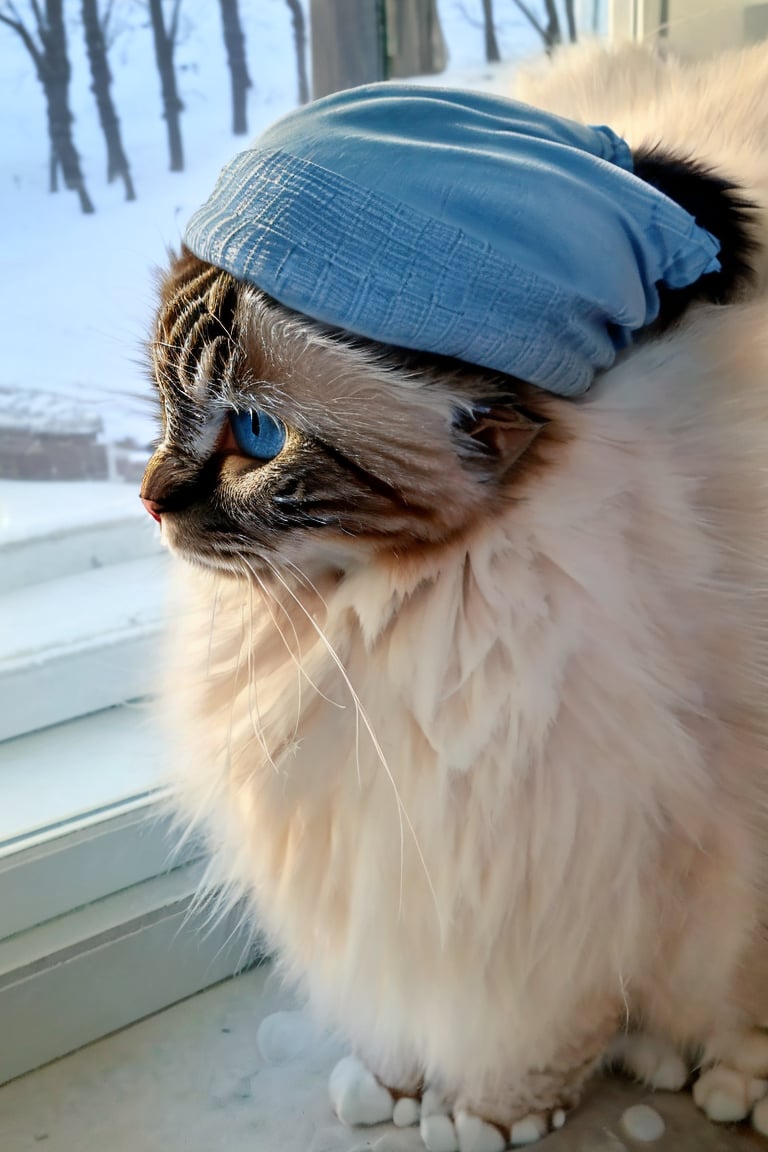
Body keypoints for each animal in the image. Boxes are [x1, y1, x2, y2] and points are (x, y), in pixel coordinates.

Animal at [142, 40, 768, 1152]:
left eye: (257, 436)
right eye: (166, 403)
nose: (148, 500)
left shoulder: (576, 856)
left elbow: (540, 1031)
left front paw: (487, 1117)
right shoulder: (388, 852)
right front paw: (393, 1086)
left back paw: (727, 1079)